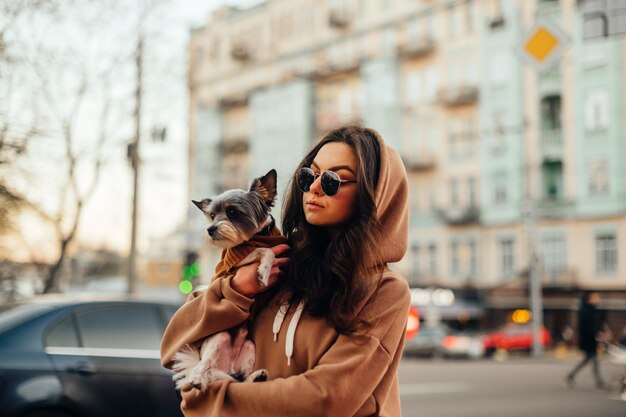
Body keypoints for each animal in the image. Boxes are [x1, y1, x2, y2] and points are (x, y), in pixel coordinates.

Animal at [168, 168, 280, 390]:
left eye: (232, 212)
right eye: (212, 216)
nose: (210, 229)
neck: (261, 235)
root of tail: (226, 365)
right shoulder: (235, 262)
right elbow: (265, 251)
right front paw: (263, 272)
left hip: (249, 347)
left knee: (240, 378)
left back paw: (256, 376)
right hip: (217, 340)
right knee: (202, 366)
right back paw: (197, 379)